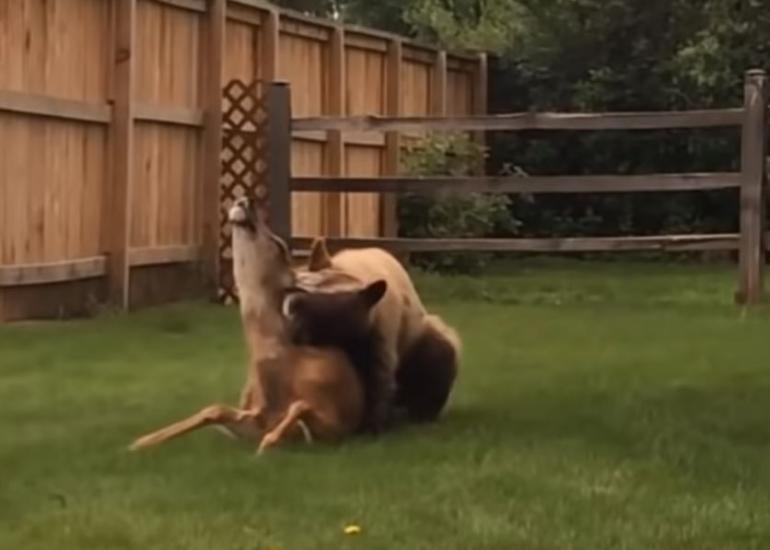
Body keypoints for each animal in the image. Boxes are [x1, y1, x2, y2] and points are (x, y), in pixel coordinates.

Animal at [129, 197, 386, 454]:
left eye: (279, 245)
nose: (245, 200)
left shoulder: (338, 425)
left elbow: (300, 406)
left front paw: (267, 444)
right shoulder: (254, 416)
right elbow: (214, 409)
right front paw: (140, 442)